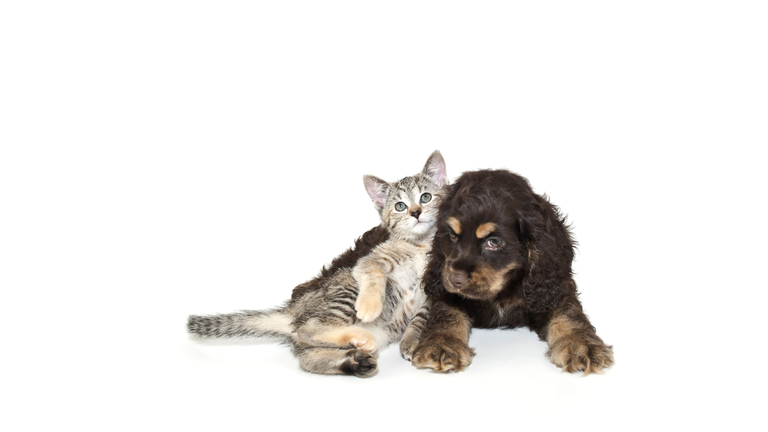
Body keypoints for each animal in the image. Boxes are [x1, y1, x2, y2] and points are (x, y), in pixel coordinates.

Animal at [188, 152, 448, 378]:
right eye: (400, 206)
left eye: (425, 197)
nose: (416, 212)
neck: (420, 245)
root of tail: (293, 309)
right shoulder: (370, 260)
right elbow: (373, 274)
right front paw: (369, 305)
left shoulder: (433, 291)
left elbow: (421, 317)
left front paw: (412, 340)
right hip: (347, 291)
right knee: (310, 328)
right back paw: (358, 338)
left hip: (378, 330)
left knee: (308, 357)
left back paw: (355, 362)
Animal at [404, 169, 616, 374]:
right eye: (452, 236)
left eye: (494, 242)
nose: (455, 279)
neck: (502, 290)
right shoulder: (446, 288)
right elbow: (446, 310)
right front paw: (441, 344)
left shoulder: (551, 288)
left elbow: (568, 312)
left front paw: (582, 345)